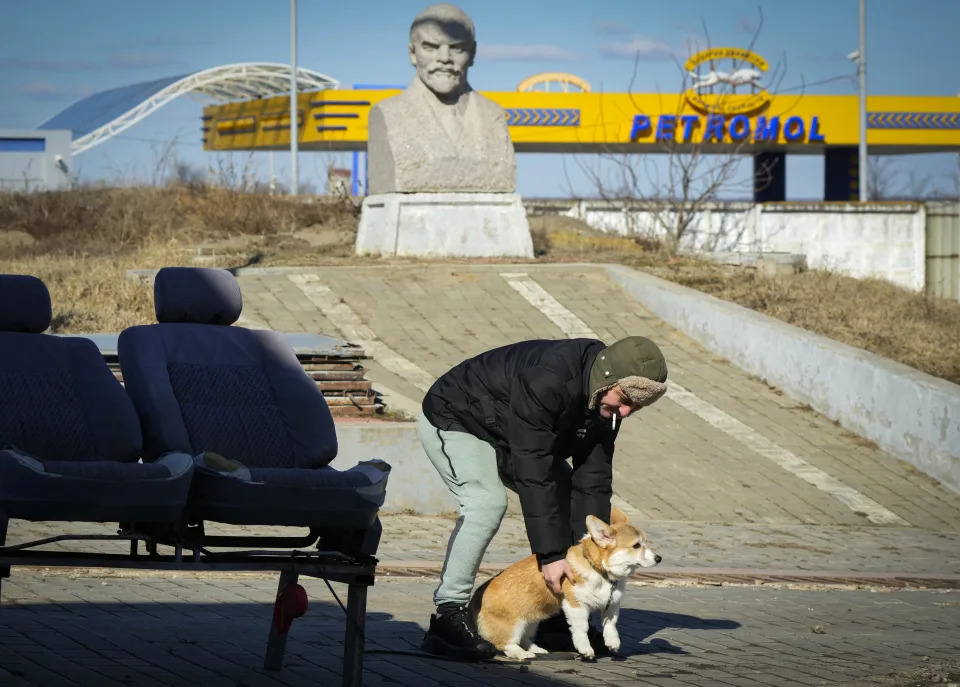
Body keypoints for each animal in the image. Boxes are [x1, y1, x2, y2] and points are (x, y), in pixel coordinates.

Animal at [468, 510, 664, 660]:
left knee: (525, 638)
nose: (659, 558)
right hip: (513, 625)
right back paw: (521, 653)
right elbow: (582, 628)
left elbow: (611, 624)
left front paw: (612, 642)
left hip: (532, 621)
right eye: (636, 546)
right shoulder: (575, 604)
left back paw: (536, 649)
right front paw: (585, 648)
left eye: (646, 543)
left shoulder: (612, 602)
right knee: (505, 643)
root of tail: (473, 603)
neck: (599, 570)